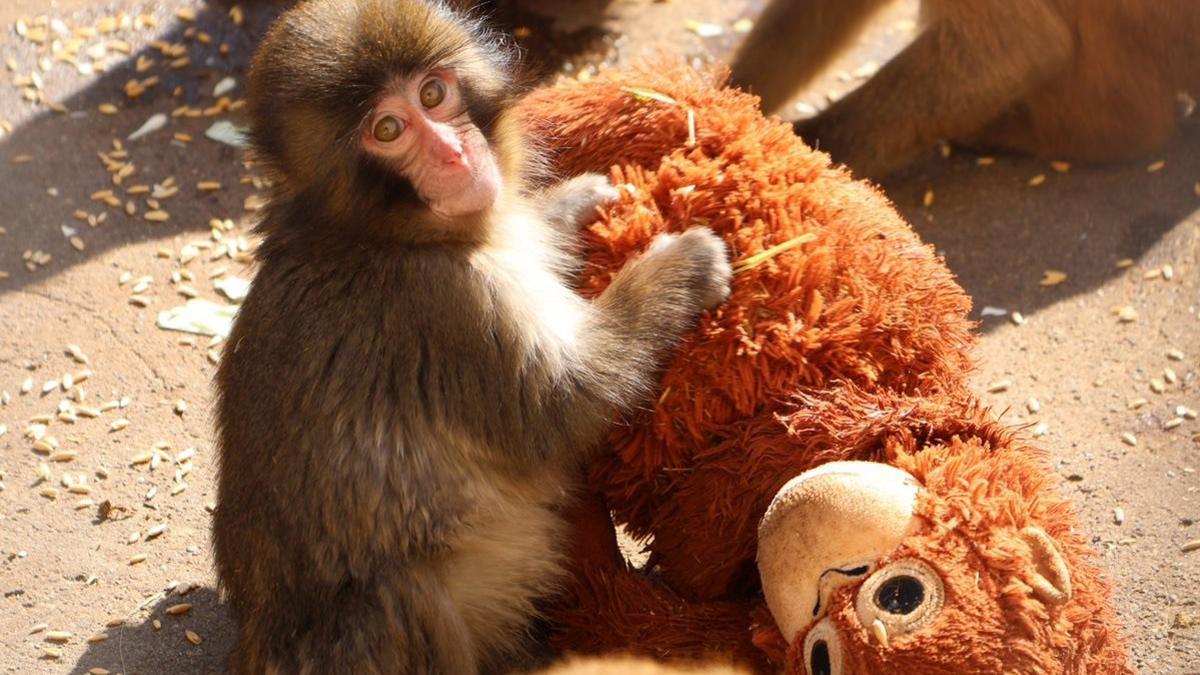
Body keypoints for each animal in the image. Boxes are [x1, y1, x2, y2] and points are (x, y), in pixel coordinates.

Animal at [210, 1, 732, 673]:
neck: (378, 234)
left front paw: (572, 203)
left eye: (433, 94)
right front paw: (681, 268)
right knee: (398, 594)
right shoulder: (447, 305)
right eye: (387, 130)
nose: (455, 155)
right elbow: (561, 406)